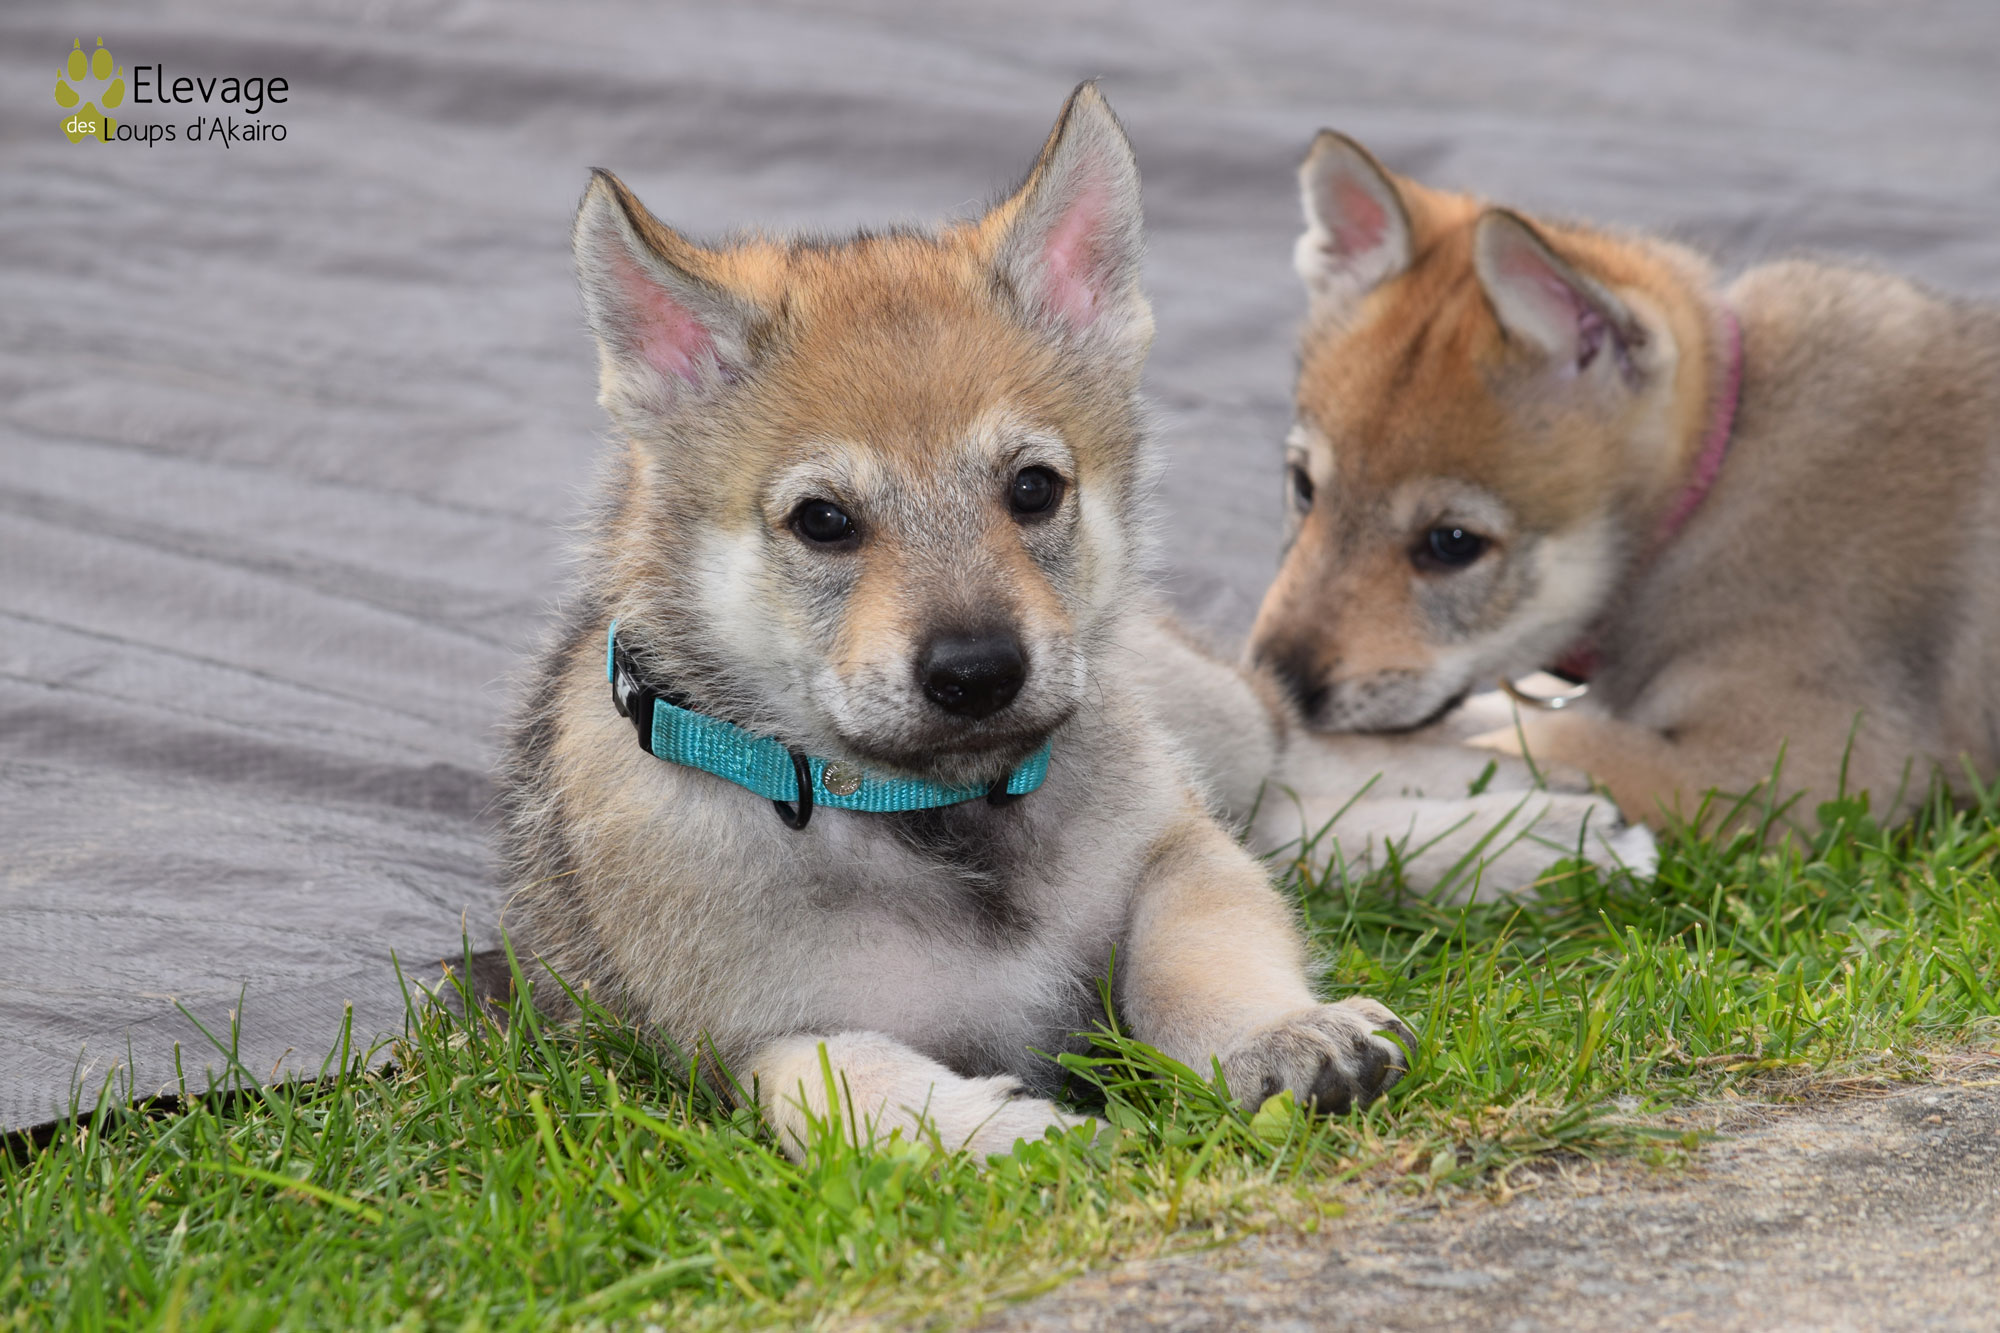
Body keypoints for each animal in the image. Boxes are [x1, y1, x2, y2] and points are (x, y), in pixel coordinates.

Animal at [495, 86, 1448, 1160]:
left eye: (1033, 488)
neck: (930, 815)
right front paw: (1024, 1135)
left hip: (1217, 725)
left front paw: (1280, 1034)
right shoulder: (742, 1047)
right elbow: (849, 1083)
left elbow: (1202, 956)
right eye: (822, 520)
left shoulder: (1180, 856)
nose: (979, 670)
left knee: (1310, 776)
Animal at [1246, 130, 2000, 833]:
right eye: (1305, 487)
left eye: (1452, 543)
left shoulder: (1786, 768)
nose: (1274, 681)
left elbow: (1532, 741)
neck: (1713, 483)